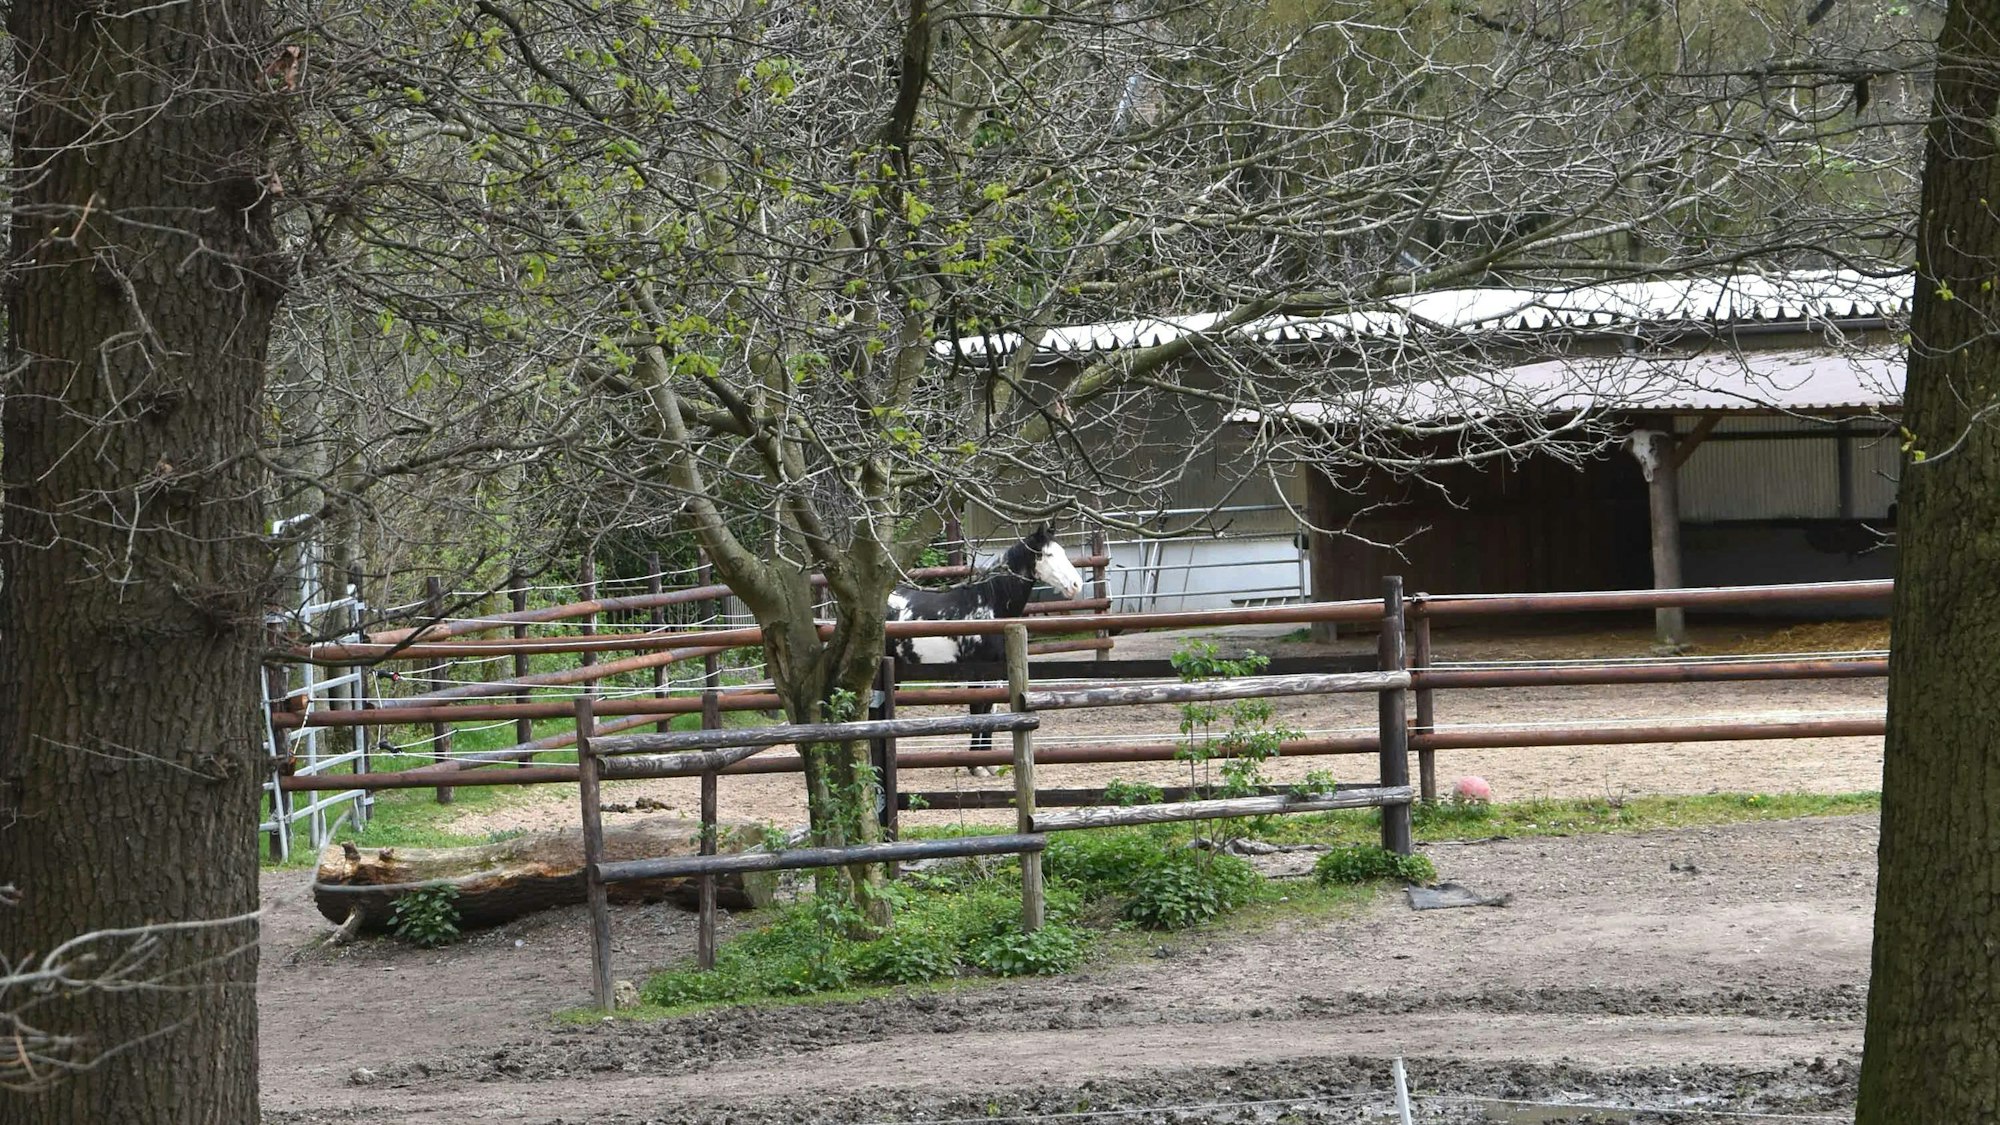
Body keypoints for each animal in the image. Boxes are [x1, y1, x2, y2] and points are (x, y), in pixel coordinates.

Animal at [885, 527, 1086, 771]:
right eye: (1047, 555)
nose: (1076, 585)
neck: (987, 606)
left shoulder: (996, 670)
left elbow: (991, 707)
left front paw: (988, 763)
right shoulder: (976, 671)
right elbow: (977, 707)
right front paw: (976, 765)